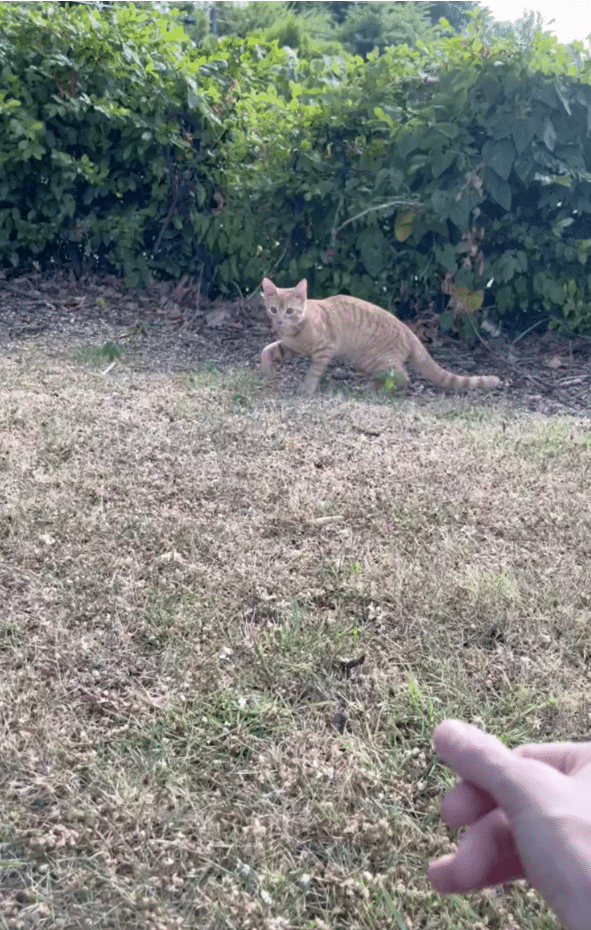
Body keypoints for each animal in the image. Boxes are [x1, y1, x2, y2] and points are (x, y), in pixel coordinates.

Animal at [262, 276, 502, 392]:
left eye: (289, 311)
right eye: (273, 310)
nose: (279, 320)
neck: (296, 329)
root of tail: (407, 329)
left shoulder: (324, 349)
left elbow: (313, 371)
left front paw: (307, 389)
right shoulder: (289, 346)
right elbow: (266, 351)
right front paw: (268, 374)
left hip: (370, 359)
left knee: (404, 376)